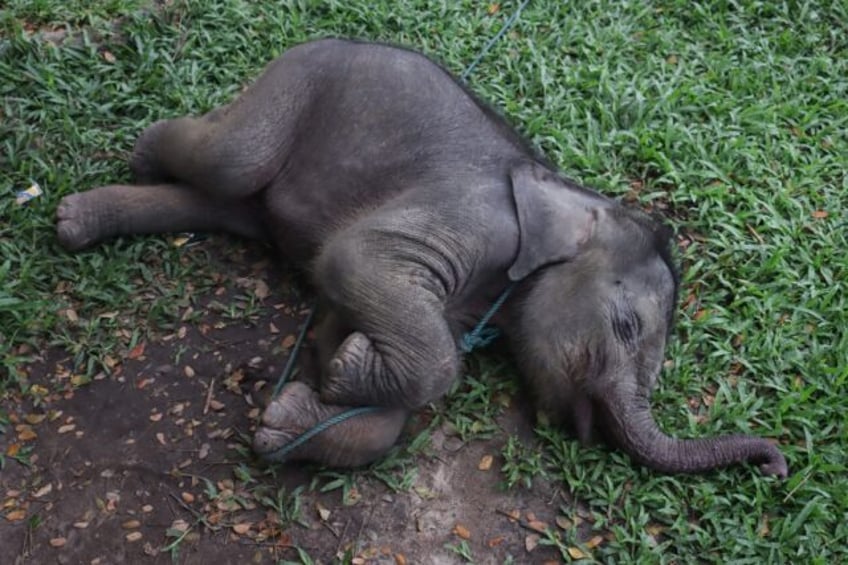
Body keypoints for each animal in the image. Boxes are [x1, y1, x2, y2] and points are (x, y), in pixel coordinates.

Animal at [58, 37, 788, 476]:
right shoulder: (473, 218)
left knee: (218, 201)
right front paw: (342, 374)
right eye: (627, 326)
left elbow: (352, 341)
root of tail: (340, 36)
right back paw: (141, 153)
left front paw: (298, 406)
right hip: (301, 77)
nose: (778, 465)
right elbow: (359, 262)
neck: (572, 193)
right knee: (231, 159)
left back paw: (74, 220)